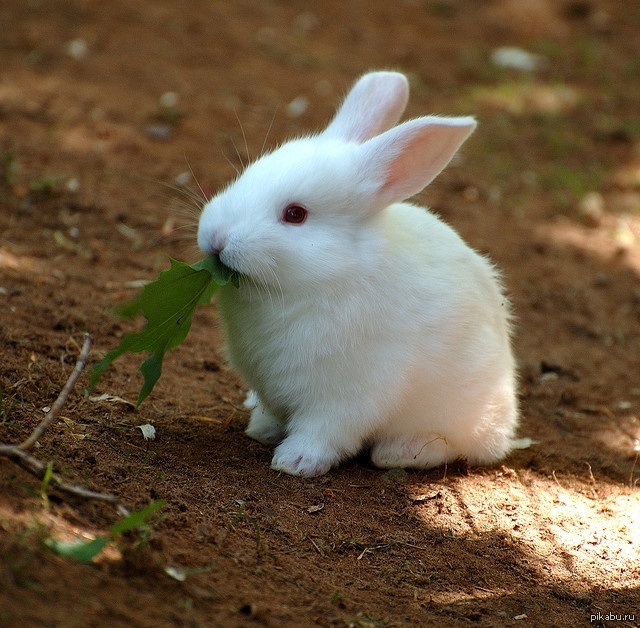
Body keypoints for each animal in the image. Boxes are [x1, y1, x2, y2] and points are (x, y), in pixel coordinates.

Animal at [198, 71, 516, 476]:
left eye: (295, 214)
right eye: (247, 176)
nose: (216, 238)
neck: (326, 278)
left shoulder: (348, 395)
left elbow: (324, 431)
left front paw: (295, 462)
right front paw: (262, 430)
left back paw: (402, 452)